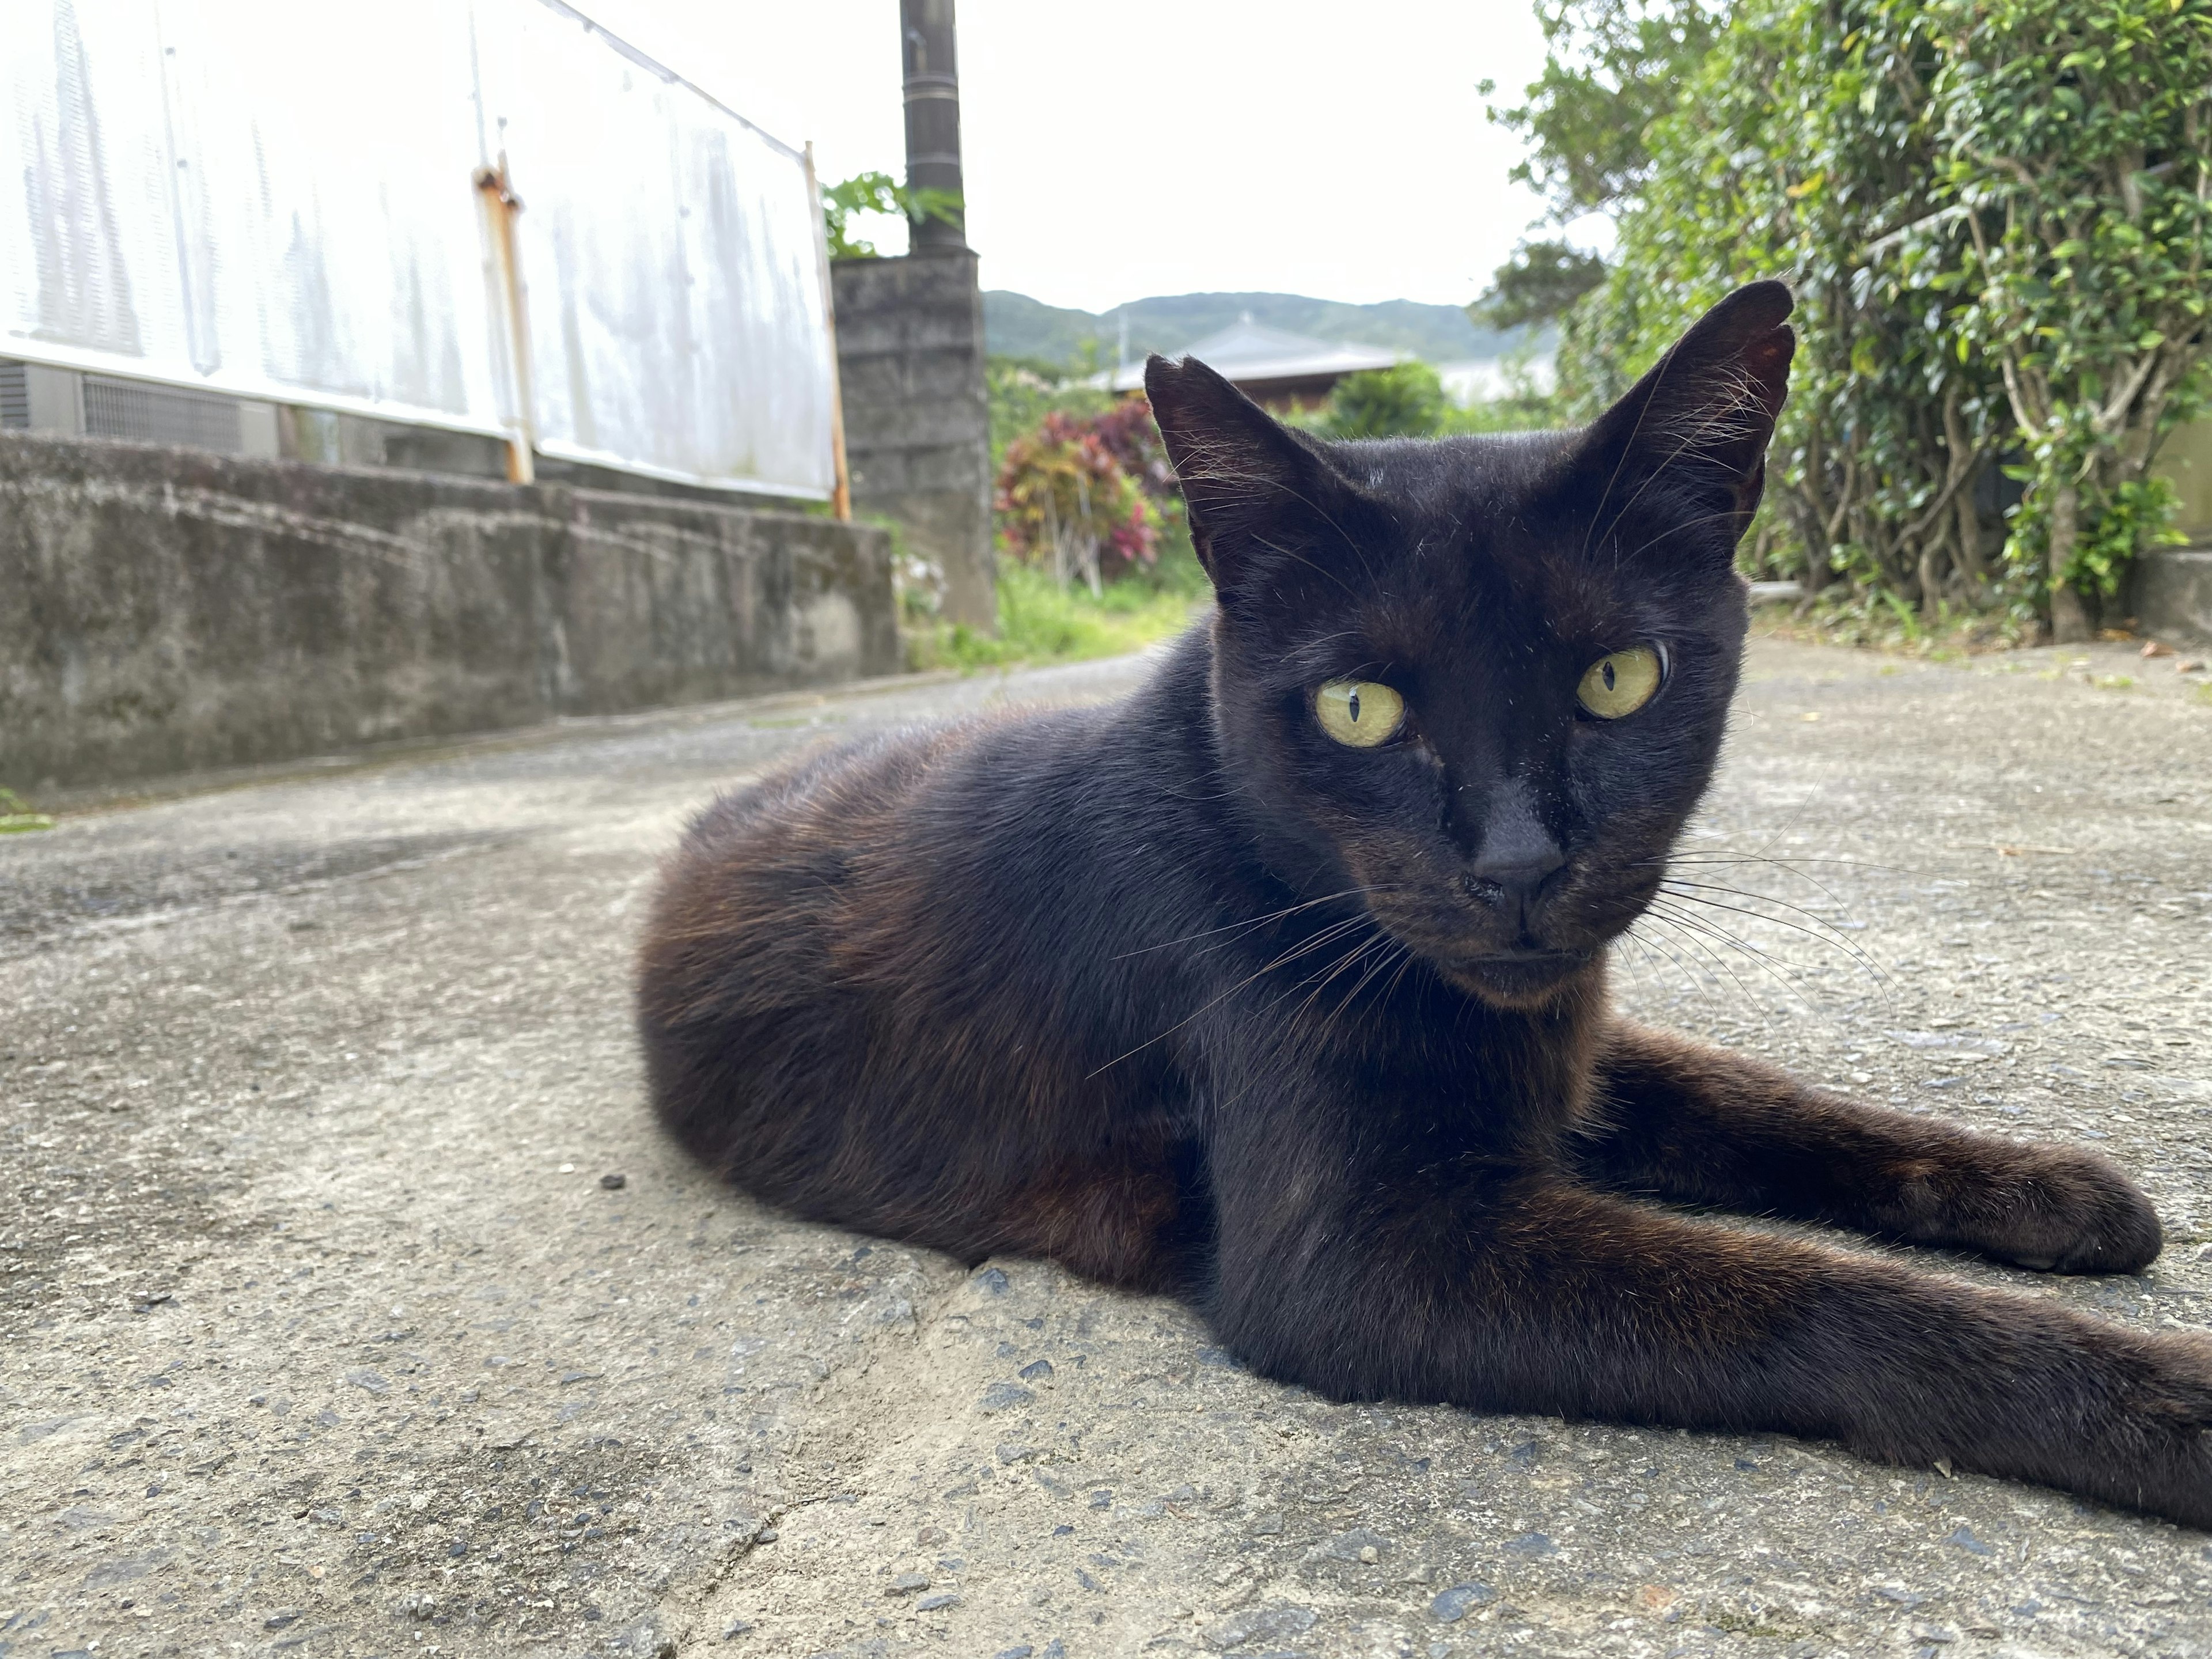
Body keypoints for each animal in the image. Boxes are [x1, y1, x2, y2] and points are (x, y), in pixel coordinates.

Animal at [632, 283, 2203, 1531]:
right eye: (1359, 708)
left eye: (1617, 679)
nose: (1513, 865)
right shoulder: (1357, 1256)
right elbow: (1811, 1291)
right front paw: (2158, 1401)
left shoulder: (1568, 1050)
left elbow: (1773, 1103)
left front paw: (2056, 1189)